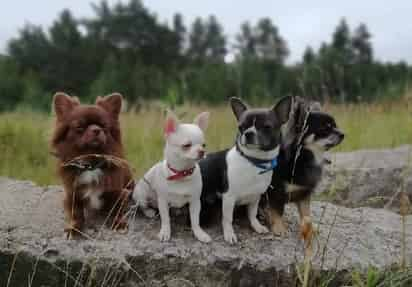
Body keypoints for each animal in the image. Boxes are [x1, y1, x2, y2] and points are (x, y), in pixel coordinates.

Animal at [50, 93, 134, 240]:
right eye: (80, 127)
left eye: (104, 126)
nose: (96, 129)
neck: (91, 163)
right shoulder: (72, 195)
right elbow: (76, 214)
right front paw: (74, 229)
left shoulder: (119, 193)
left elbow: (117, 210)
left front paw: (119, 224)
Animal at [133, 110, 211, 243]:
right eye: (186, 145)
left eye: (204, 145)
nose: (202, 151)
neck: (181, 174)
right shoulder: (163, 201)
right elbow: (165, 220)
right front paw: (165, 232)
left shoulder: (195, 201)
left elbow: (195, 220)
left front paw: (199, 233)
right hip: (141, 195)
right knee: (143, 206)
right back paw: (149, 212)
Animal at [200, 97, 292, 245]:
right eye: (241, 127)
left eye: (266, 127)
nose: (248, 133)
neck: (253, 162)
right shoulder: (229, 197)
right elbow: (227, 219)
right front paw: (229, 234)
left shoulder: (255, 197)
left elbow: (252, 214)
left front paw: (257, 226)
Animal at [264, 98, 344, 246]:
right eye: (325, 128)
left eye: (335, 126)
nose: (343, 134)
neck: (302, 158)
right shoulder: (274, 192)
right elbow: (276, 211)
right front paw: (279, 228)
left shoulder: (303, 194)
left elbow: (306, 213)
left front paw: (310, 228)